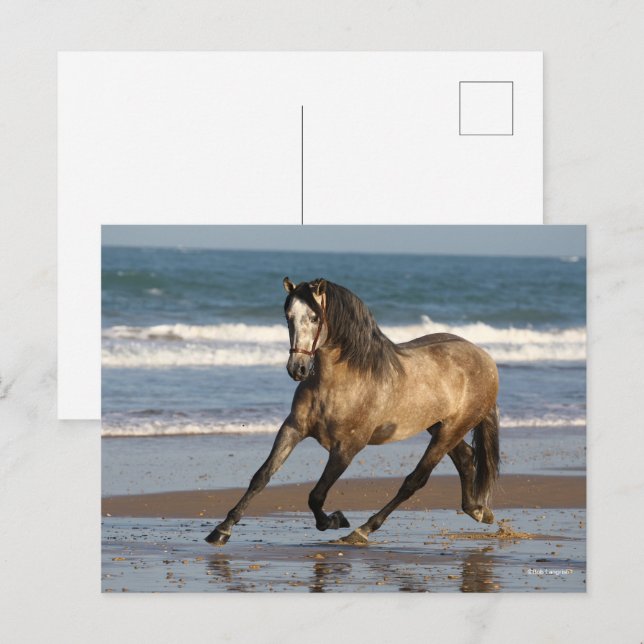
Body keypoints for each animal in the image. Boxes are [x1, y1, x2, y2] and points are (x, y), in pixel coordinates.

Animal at [205, 277, 500, 546]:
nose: (297, 368)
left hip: (451, 429)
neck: (339, 381)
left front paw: (335, 520)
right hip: (439, 425)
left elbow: (316, 496)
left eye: (315, 317)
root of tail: (484, 357)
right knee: (466, 457)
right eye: (288, 316)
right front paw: (222, 530)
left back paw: (362, 530)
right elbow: (262, 476)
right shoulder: (292, 429)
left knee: (414, 481)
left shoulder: (346, 448)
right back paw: (478, 511)